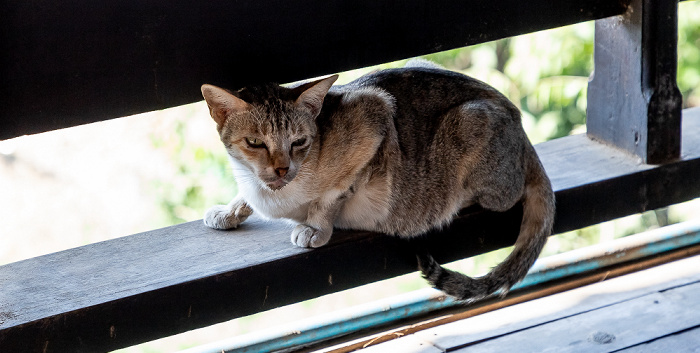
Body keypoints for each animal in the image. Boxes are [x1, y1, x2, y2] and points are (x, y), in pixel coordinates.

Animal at [200, 61, 556, 300]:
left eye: (299, 142)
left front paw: (315, 227)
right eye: (255, 143)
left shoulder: (375, 115)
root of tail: (523, 132)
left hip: (469, 122)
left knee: (505, 195)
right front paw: (230, 210)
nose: (282, 170)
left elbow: (332, 195)